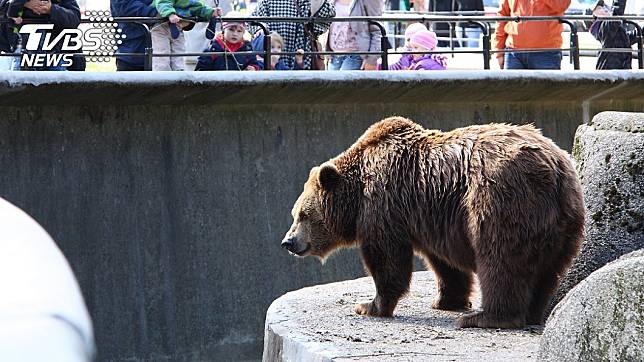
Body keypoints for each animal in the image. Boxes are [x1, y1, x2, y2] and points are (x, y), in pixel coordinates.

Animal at [280, 116, 584, 328]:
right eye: (295, 214)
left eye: (303, 214)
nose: (288, 242)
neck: (356, 197)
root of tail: (555, 169)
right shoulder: (432, 217)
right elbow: (446, 265)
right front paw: (446, 301)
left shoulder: (384, 205)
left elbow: (386, 259)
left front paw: (369, 306)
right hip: (564, 223)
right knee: (546, 270)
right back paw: (532, 311)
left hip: (501, 199)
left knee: (501, 259)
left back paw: (485, 317)